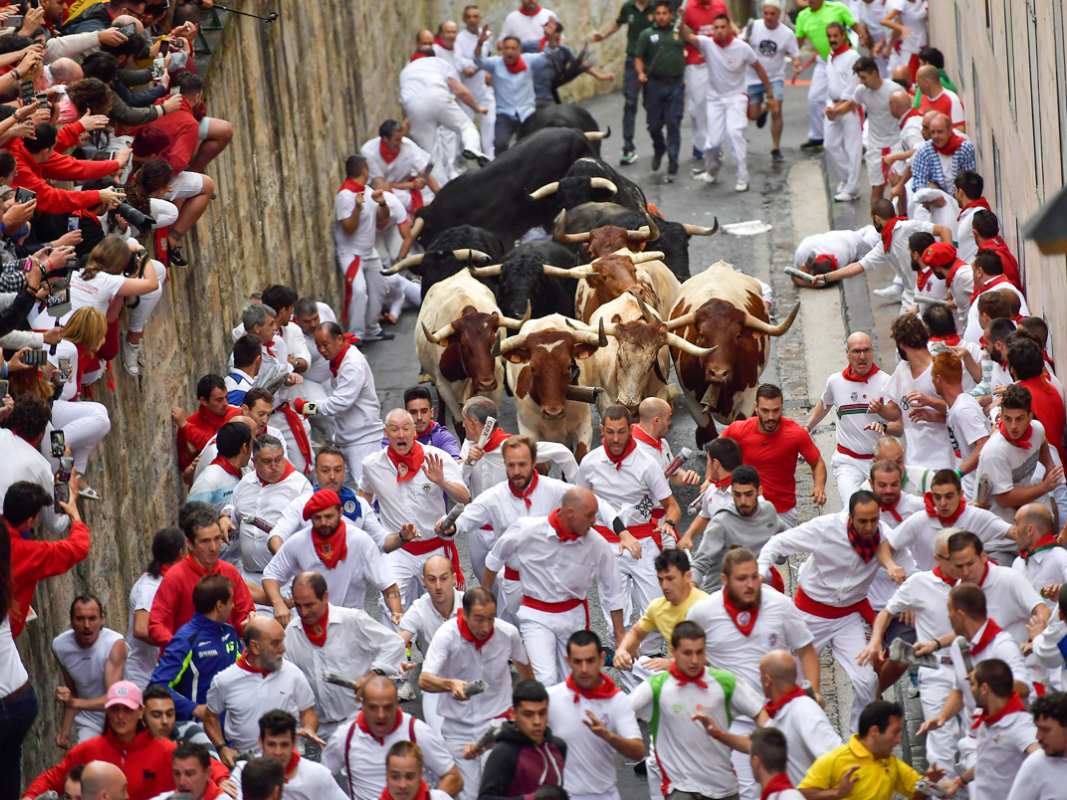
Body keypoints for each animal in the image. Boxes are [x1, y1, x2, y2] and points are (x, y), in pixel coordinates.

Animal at [411, 270, 524, 426]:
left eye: (494, 342)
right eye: (463, 345)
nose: (486, 383)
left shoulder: (496, 382)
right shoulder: (445, 388)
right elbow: (459, 422)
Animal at [670, 264, 798, 448]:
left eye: (738, 336)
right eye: (701, 335)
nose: (718, 373)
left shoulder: (749, 393)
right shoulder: (691, 397)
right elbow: (708, 431)